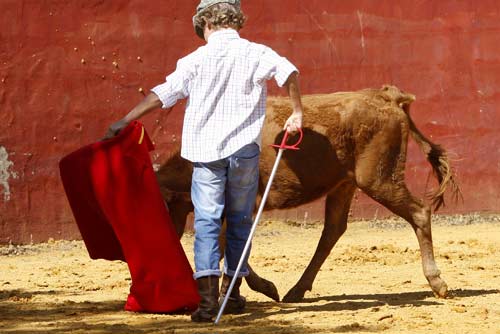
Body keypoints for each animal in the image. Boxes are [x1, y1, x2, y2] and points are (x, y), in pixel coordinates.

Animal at [154, 85, 458, 302]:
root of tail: (386, 97)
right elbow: (231, 246)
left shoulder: (245, 204)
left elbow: (232, 247)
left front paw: (240, 293)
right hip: (344, 185)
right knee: (332, 230)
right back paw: (297, 290)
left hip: (380, 179)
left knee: (419, 212)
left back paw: (437, 283)